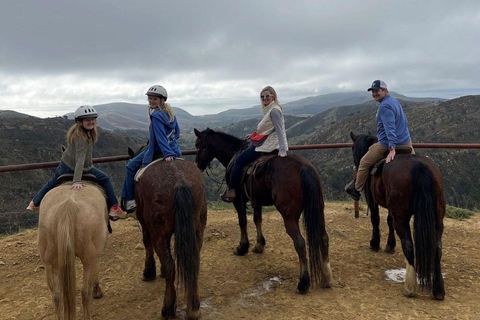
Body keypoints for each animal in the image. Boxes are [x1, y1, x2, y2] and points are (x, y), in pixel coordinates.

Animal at [37, 182, 109, 320]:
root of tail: (68, 205)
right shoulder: (95, 257)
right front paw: (97, 291)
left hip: (50, 263)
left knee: (56, 295)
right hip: (90, 259)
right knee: (85, 292)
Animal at [136, 159, 209, 318]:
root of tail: (179, 179)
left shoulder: (142, 219)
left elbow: (146, 242)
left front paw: (149, 271)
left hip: (158, 231)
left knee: (169, 265)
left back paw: (168, 307)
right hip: (197, 228)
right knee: (193, 262)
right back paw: (193, 307)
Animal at [193, 127, 332, 292]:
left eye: (198, 146)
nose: (197, 165)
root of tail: (304, 167)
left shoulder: (239, 201)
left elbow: (243, 222)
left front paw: (242, 247)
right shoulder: (256, 200)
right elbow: (257, 219)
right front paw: (259, 245)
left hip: (289, 216)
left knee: (300, 242)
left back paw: (303, 282)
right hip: (319, 209)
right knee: (324, 237)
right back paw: (327, 277)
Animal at [348, 131, 446, 300]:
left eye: (353, 148)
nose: (355, 163)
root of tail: (419, 167)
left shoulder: (372, 199)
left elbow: (376, 219)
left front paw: (375, 243)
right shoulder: (391, 208)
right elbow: (389, 221)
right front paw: (390, 245)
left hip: (402, 217)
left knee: (408, 245)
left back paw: (409, 287)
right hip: (437, 218)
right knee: (437, 247)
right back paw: (438, 289)